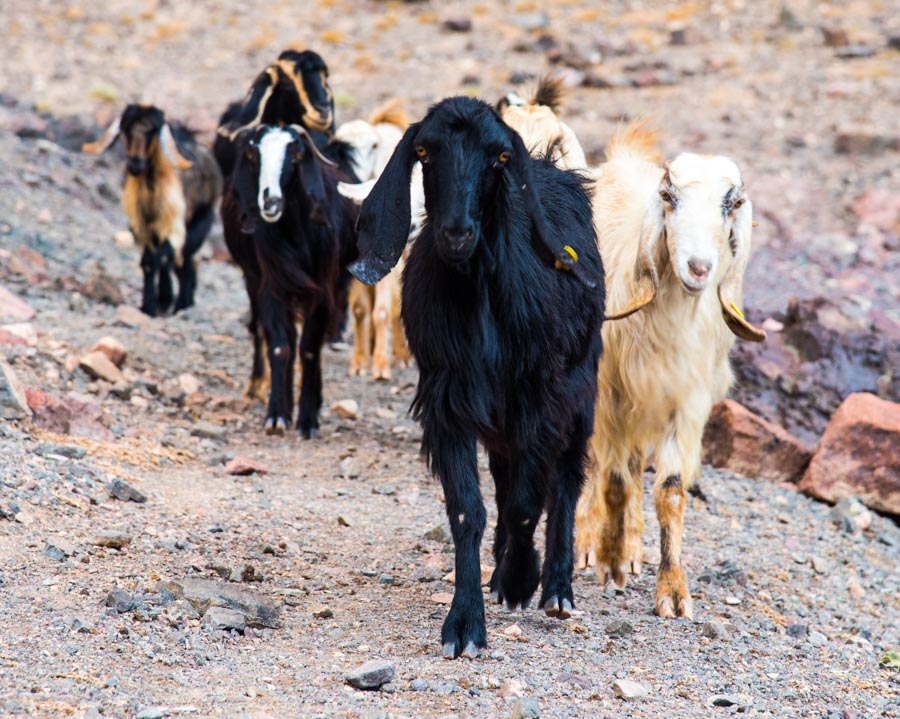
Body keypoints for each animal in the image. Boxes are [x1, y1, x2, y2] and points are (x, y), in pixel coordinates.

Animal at [83, 103, 222, 316]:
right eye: (126, 129)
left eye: (152, 132)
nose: (135, 164)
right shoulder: (140, 227)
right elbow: (149, 262)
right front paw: (150, 305)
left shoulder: (174, 224)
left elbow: (160, 258)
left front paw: (159, 303)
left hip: (201, 222)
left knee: (185, 261)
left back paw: (183, 304)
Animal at [221, 124, 358, 436]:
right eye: (254, 155)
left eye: (295, 156)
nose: (270, 202)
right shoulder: (271, 285)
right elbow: (280, 347)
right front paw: (276, 416)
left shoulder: (322, 289)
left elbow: (309, 349)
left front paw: (307, 420)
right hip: (253, 280)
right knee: (273, 335)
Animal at [350, 98, 604, 660]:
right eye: (425, 152)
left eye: (499, 157)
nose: (457, 233)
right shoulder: (449, 401)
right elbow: (470, 509)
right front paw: (466, 621)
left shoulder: (541, 395)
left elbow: (530, 502)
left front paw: (521, 580)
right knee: (509, 480)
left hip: (582, 388)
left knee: (566, 480)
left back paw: (556, 587)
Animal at [576, 122, 768, 620]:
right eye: (669, 197)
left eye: (730, 203)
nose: (699, 268)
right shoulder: (607, 392)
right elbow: (613, 479)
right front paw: (607, 559)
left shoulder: (686, 402)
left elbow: (670, 491)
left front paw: (672, 589)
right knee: (594, 464)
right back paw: (587, 540)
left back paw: (631, 546)